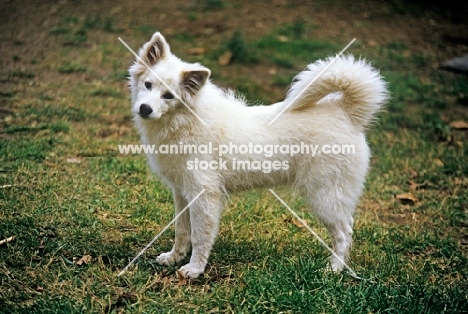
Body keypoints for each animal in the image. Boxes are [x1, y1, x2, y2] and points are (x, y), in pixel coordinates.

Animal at [128, 31, 388, 278]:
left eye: (169, 96)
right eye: (148, 85)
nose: (145, 109)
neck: (185, 120)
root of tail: (346, 112)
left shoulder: (204, 195)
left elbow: (200, 237)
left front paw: (195, 269)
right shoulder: (182, 192)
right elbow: (181, 231)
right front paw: (174, 258)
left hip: (324, 196)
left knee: (343, 233)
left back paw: (333, 270)